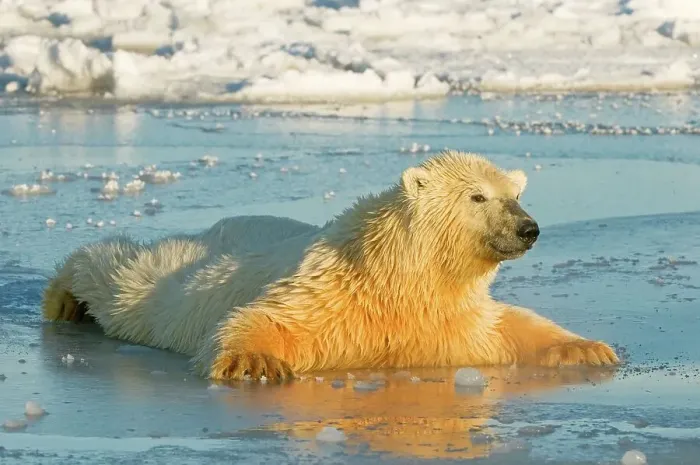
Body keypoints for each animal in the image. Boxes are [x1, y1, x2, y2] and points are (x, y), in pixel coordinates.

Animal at [42, 149, 619, 382]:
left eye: (515, 195)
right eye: (477, 196)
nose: (529, 228)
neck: (399, 278)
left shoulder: (450, 320)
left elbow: (510, 327)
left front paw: (588, 349)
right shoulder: (333, 292)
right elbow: (270, 317)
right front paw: (255, 363)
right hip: (179, 272)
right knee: (124, 278)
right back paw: (63, 298)